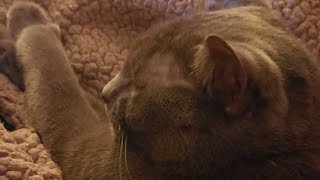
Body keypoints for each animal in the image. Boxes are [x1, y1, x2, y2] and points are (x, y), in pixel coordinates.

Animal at [2, 0, 320, 180]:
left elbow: (53, 73)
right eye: (125, 64)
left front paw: (26, 17)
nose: (106, 90)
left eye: (139, 85)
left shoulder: (88, 153)